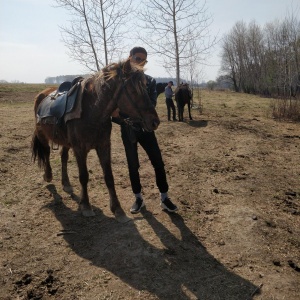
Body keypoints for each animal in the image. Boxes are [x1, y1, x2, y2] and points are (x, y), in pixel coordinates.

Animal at [31, 59, 159, 223]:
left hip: (66, 142)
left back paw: (66, 184)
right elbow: (84, 176)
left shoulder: (104, 146)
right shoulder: (80, 149)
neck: (92, 111)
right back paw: (48, 175)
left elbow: (109, 177)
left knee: (63, 157)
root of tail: (43, 94)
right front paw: (86, 206)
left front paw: (118, 209)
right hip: (42, 134)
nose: (154, 121)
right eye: (133, 90)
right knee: (46, 152)